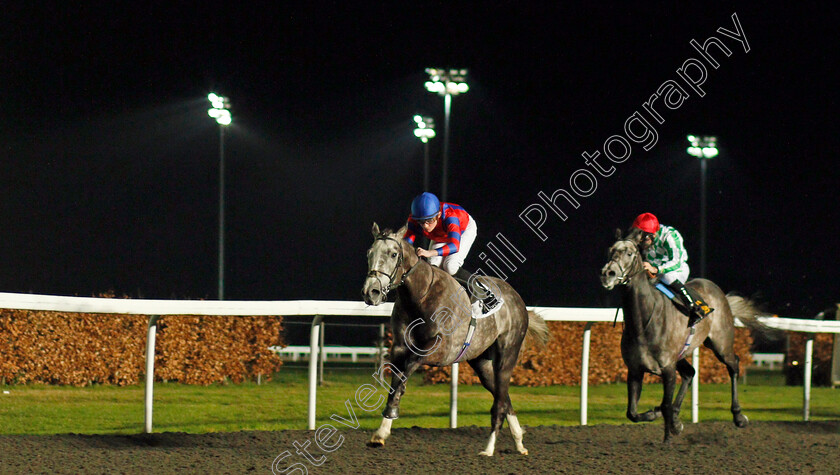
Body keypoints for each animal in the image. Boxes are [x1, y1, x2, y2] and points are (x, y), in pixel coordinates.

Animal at [362, 223, 552, 458]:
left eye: (393, 254)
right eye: (369, 253)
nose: (371, 292)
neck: (421, 295)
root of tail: (517, 298)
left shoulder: (439, 351)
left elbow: (404, 377)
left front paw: (388, 420)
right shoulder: (398, 349)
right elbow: (395, 384)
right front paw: (381, 431)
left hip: (507, 354)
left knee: (500, 401)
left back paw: (489, 448)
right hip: (481, 361)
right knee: (503, 396)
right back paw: (519, 442)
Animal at [596, 229, 768, 444]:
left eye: (629, 253)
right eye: (610, 250)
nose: (607, 274)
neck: (643, 323)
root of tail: (719, 292)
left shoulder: (667, 369)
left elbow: (665, 405)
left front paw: (667, 437)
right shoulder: (635, 369)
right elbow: (632, 413)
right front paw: (658, 416)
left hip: (721, 344)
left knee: (733, 365)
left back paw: (738, 416)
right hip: (682, 354)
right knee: (690, 373)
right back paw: (676, 419)